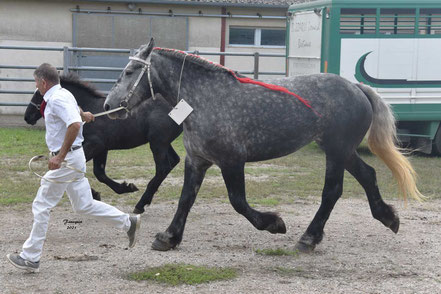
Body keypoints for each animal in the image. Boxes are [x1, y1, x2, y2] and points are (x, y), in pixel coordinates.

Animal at [103, 39, 422, 253]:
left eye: (130, 71)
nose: (108, 106)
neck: (206, 98)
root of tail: (357, 88)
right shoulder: (197, 160)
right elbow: (185, 200)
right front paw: (168, 237)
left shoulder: (232, 161)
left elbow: (238, 202)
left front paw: (274, 223)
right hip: (342, 151)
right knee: (368, 175)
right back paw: (388, 218)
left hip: (336, 151)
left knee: (332, 191)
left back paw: (308, 238)